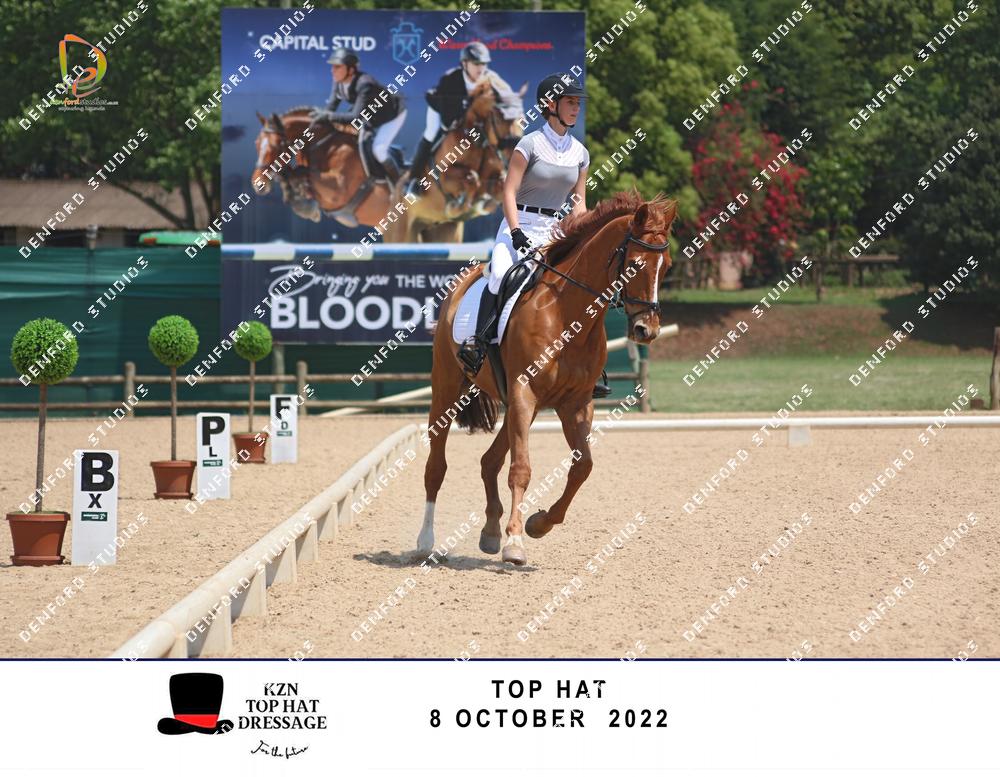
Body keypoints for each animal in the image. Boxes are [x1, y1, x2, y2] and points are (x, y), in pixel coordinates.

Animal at [252, 108, 405, 239]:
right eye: (257, 143)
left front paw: (307, 209)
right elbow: (299, 175)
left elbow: (301, 172)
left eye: (277, 144)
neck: (323, 146)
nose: (257, 183)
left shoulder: (338, 189)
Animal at [418, 191, 677, 566]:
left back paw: (490, 532)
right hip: (449, 390)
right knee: (436, 466)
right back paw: (426, 541)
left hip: (520, 406)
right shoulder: (524, 391)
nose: (647, 330)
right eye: (634, 265)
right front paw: (515, 542)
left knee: (488, 462)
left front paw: (538, 524)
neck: (567, 311)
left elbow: (583, 466)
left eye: (667, 266)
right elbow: (521, 469)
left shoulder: (575, 403)